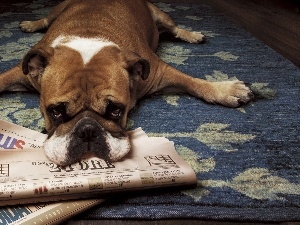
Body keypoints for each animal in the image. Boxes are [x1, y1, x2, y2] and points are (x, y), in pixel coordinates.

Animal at [0, 0, 253, 165]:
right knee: (45, 18)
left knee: (173, 27)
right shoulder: (23, 73)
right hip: (58, 9)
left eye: (116, 110)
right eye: (56, 112)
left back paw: (191, 35)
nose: (88, 130)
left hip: (160, 14)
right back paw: (30, 23)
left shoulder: (159, 72)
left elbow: (194, 82)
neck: (88, 38)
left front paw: (225, 89)